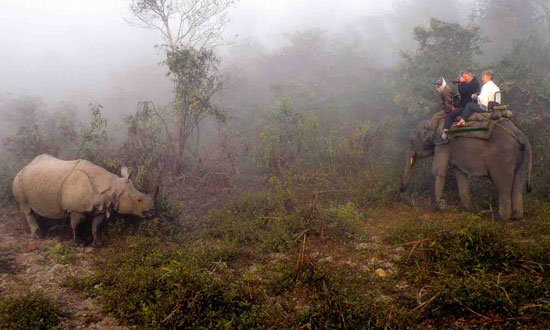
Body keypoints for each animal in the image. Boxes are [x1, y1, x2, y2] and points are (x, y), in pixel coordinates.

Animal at [402, 120, 536, 220]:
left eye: (410, 141)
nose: (402, 192)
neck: (434, 121)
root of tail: (520, 134)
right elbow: (459, 174)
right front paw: (467, 209)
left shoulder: (443, 142)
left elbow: (437, 171)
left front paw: (436, 209)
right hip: (520, 156)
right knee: (517, 185)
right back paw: (517, 217)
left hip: (503, 157)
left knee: (504, 186)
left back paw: (501, 218)